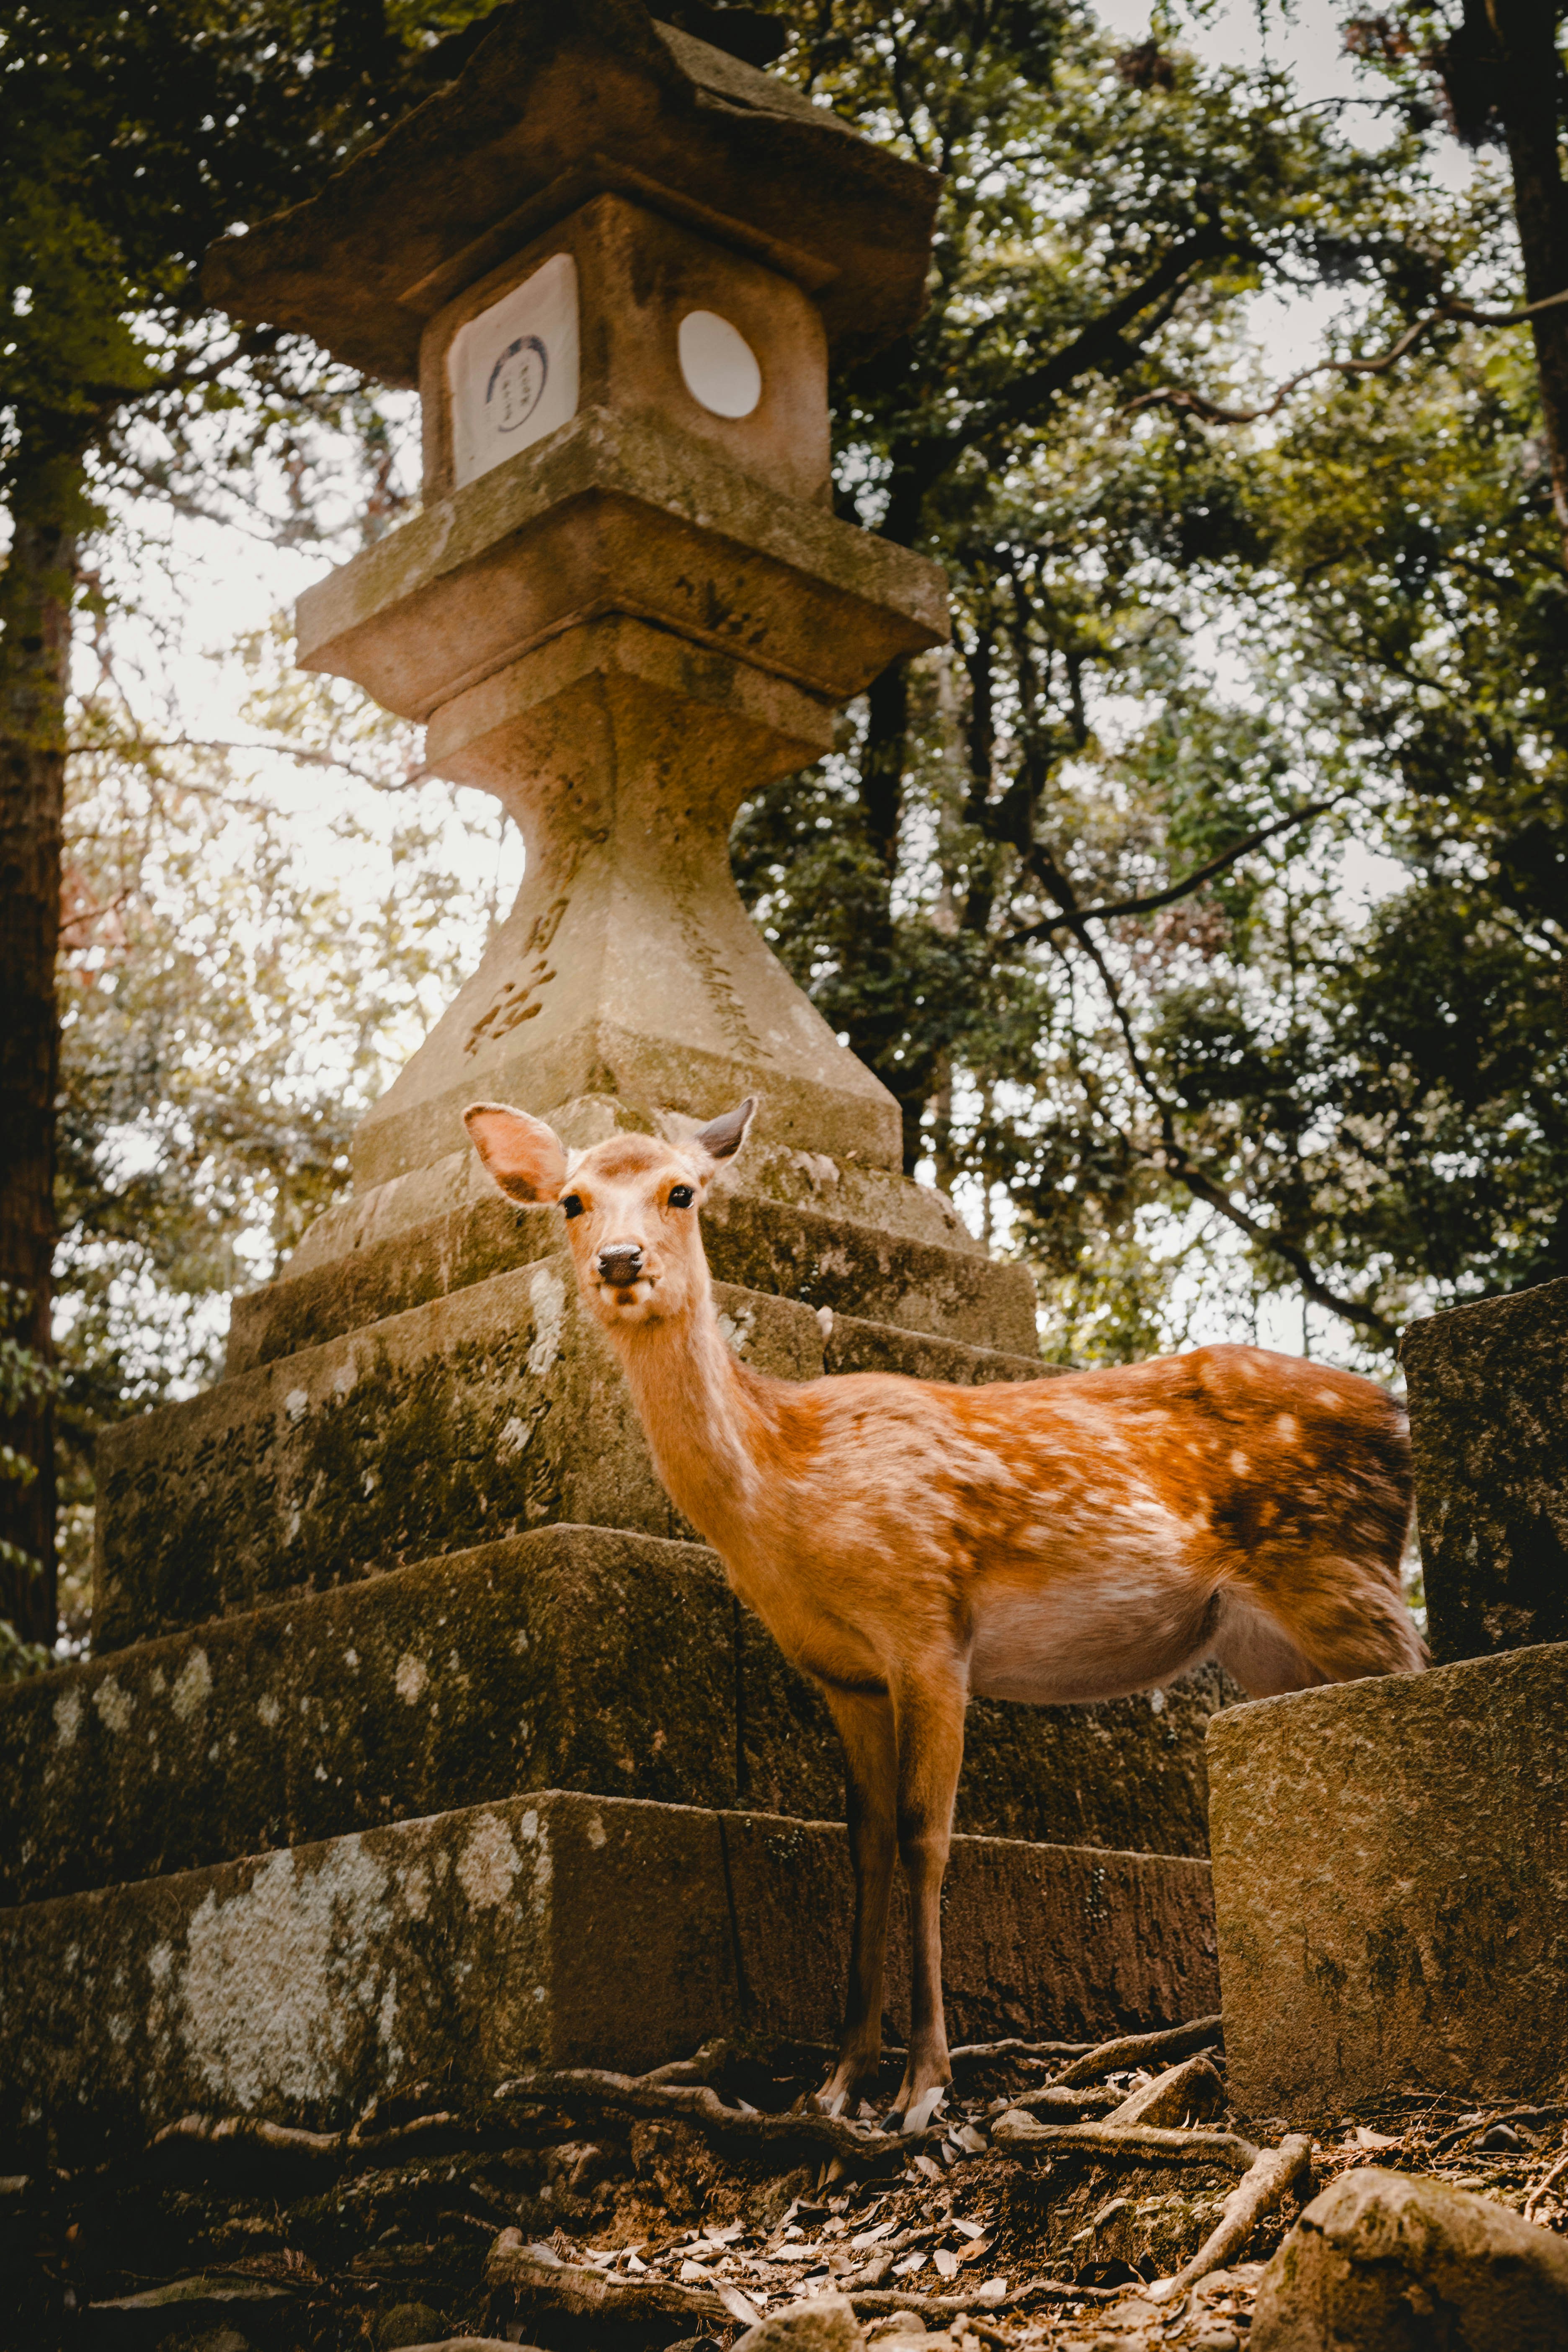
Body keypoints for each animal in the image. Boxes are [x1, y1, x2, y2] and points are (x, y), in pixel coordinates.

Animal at [464, 1094, 1423, 2134]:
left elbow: (928, 1837)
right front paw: (839, 2081)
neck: (787, 1491)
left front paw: (925, 2085)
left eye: (682, 1191)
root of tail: (1399, 1418)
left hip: (1342, 1566)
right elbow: (867, 1842)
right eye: (571, 1200)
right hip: (1269, 1636)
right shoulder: (841, 1672)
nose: (620, 1260)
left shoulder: (930, 1626)